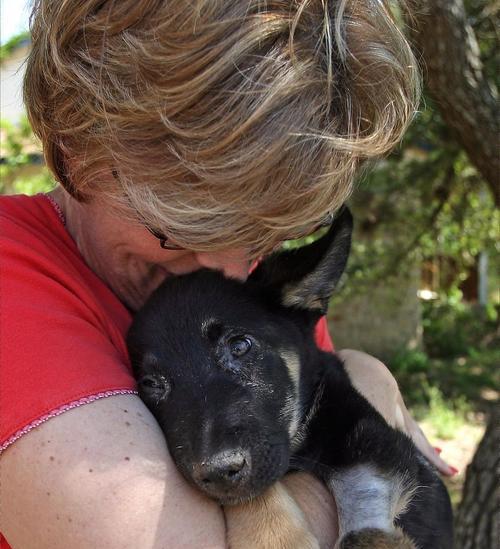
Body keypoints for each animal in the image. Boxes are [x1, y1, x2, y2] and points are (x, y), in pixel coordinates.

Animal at [126, 210, 454, 548]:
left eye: (240, 346)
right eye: (151, 384)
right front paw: (275, 537)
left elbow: (364, 512)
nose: (217, 471)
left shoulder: (379, 439)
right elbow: (253, 490)